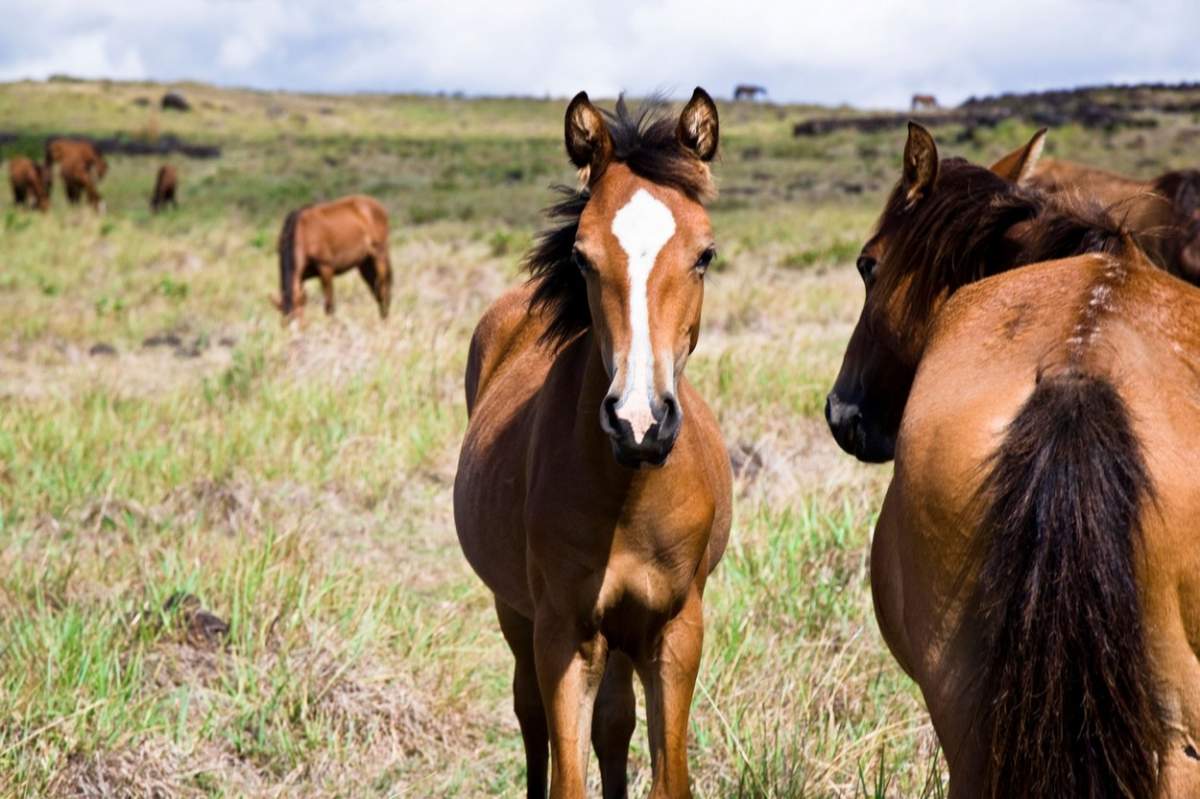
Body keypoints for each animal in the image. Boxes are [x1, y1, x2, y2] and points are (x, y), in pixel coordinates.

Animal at [451, 88, 724, 796]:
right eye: (582, 256)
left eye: (705, 254)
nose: (639, 422)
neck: (627, 496)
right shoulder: (563, 634)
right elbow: (565, 772)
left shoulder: (674, 628)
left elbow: (663, 773)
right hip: (517, 613)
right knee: (531, 719)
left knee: (614, 726)